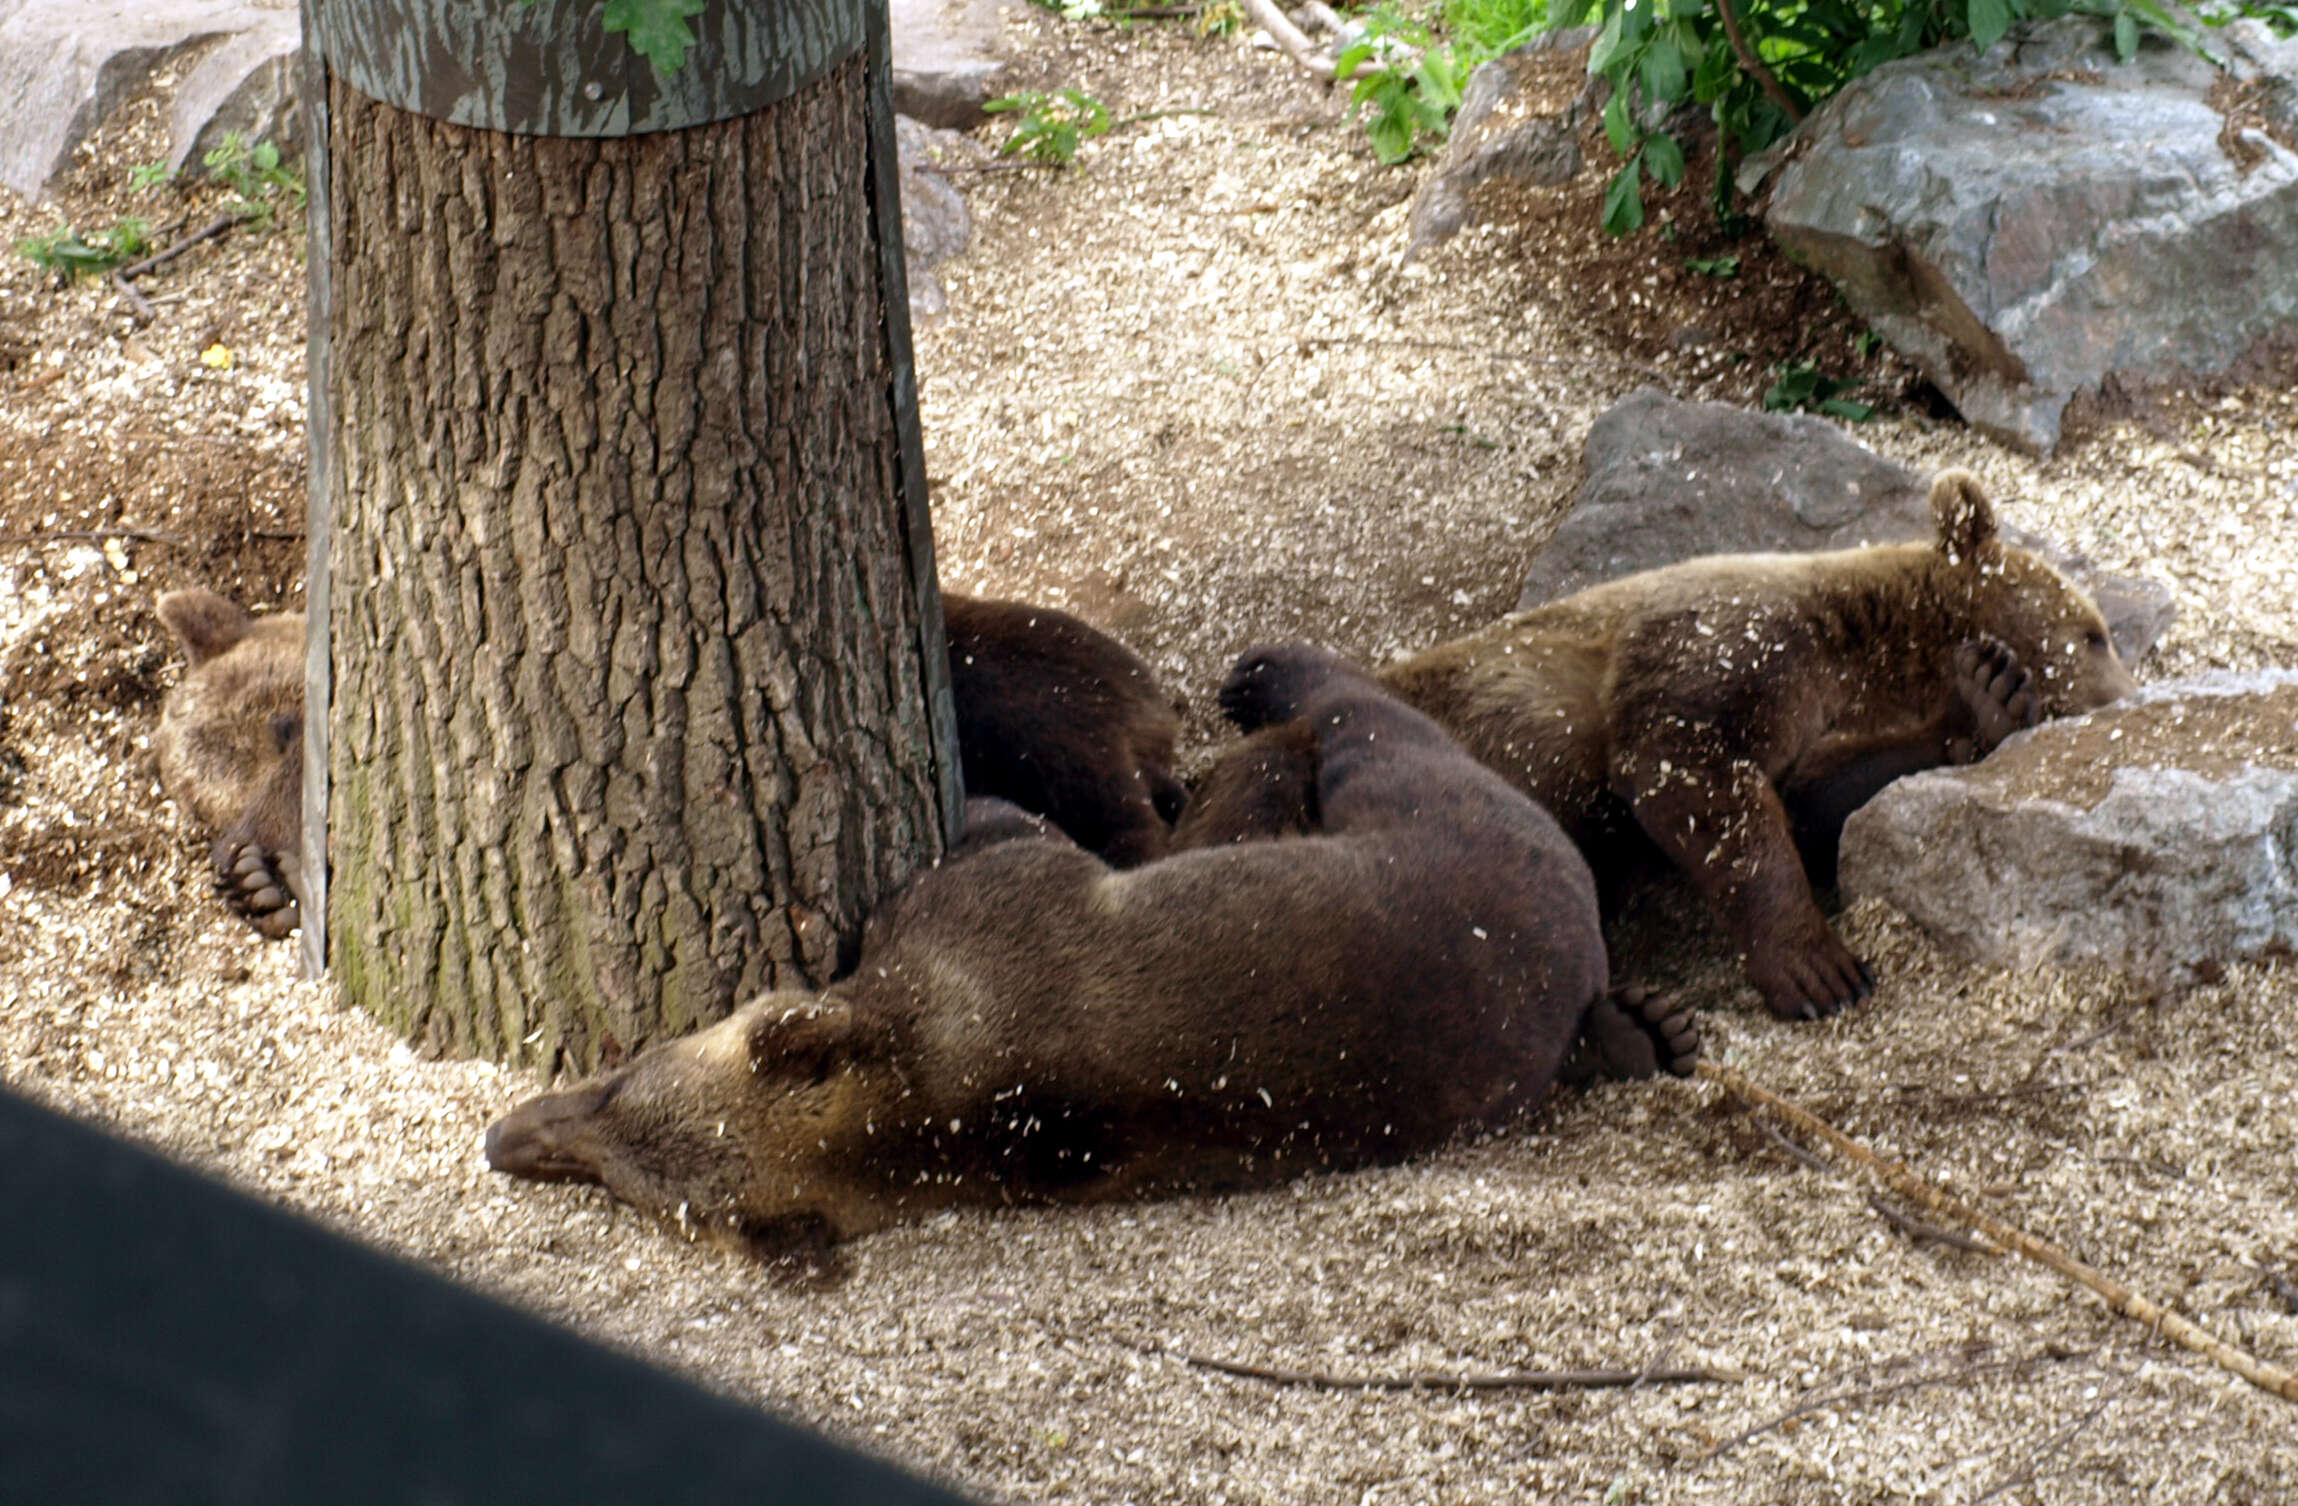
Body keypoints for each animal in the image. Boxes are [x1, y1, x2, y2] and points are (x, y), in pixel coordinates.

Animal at [480, 643, 1617, 1259]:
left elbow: (1003, 830)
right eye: (614, 1176)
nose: (507, 1135)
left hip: (1431, 812)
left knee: (1366, 718)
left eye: (623, 1079)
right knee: (1361, 721)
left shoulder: (984, 906)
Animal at [1360, 464, 2132, 1020]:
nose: (2124, 694)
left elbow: (1821, 803)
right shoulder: (1731, 642)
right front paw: (1819, 968)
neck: (1869, 648)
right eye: (2094, 633)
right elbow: (1693, 772)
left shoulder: (1816, 721)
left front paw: (1989, 696)